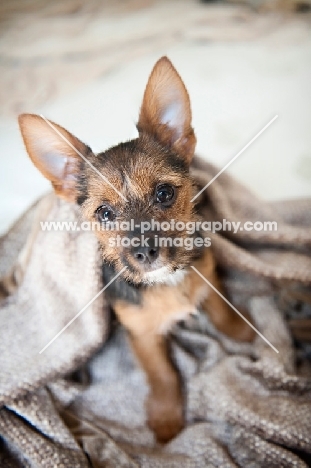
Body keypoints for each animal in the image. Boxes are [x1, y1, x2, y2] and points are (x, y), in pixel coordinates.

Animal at [18, 57, 254, 442]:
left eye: (164, 193)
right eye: (104, 213)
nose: (144, 253)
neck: (166, 282)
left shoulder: (207, 270)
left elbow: (218, 304)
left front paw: (239, 329)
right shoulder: (141, 334)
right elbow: (162, 372)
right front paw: (166, 418)